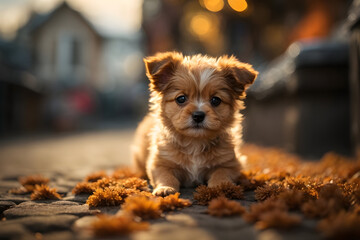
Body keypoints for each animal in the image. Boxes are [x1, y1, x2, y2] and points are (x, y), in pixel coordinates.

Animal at [131, 51, 256, 196]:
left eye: (216, 100)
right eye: (181, 99)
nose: (198, 115)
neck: (195, 143)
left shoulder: (230, 164)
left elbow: (221, 174)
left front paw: (220, 187)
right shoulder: (159, 163)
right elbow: (166, 176)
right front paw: (165, 188)